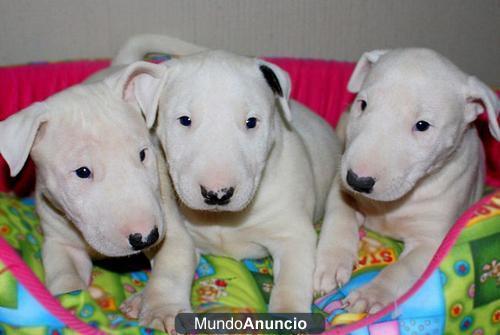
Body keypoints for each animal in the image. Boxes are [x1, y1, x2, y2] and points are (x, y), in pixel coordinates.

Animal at [0, 61, 184, 296]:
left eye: (143, 154)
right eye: (83, 172)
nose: (146, 237)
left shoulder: (166, 217)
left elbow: (170, 267)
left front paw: (158, 305)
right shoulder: (60, 240)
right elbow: (65, 277)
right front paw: (70, 297)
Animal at [116, 43, 344, 332]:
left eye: (251, 122)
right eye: (184, 120)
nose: (217, 194)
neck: (222, 220)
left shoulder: (292, 234)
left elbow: (291, 280)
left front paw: (289, 317)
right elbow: (174, 261)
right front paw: (160, 308)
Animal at [314, 48, 498, 316]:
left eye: (422, 125)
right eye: (363, 104)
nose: (358, 181)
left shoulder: (431, 242)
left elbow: (402, 268)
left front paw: (371, 294)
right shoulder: (341, 189)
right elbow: (340, 216)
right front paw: (330, 263)